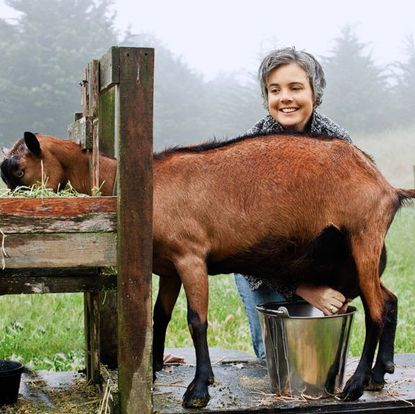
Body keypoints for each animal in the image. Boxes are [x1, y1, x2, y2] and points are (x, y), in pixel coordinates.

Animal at [2, 132, 412, 408]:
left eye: (18, 170)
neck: (143, 186)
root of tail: (388, 187)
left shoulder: (191, 257)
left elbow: (196, 321)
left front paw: (198, 389)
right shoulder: (168, 267)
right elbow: (160, 316)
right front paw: (154, 369)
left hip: (364, 238)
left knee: (376, 311)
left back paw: (355, 384)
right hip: (357, 260)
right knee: (389, 300)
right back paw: (380, 373)